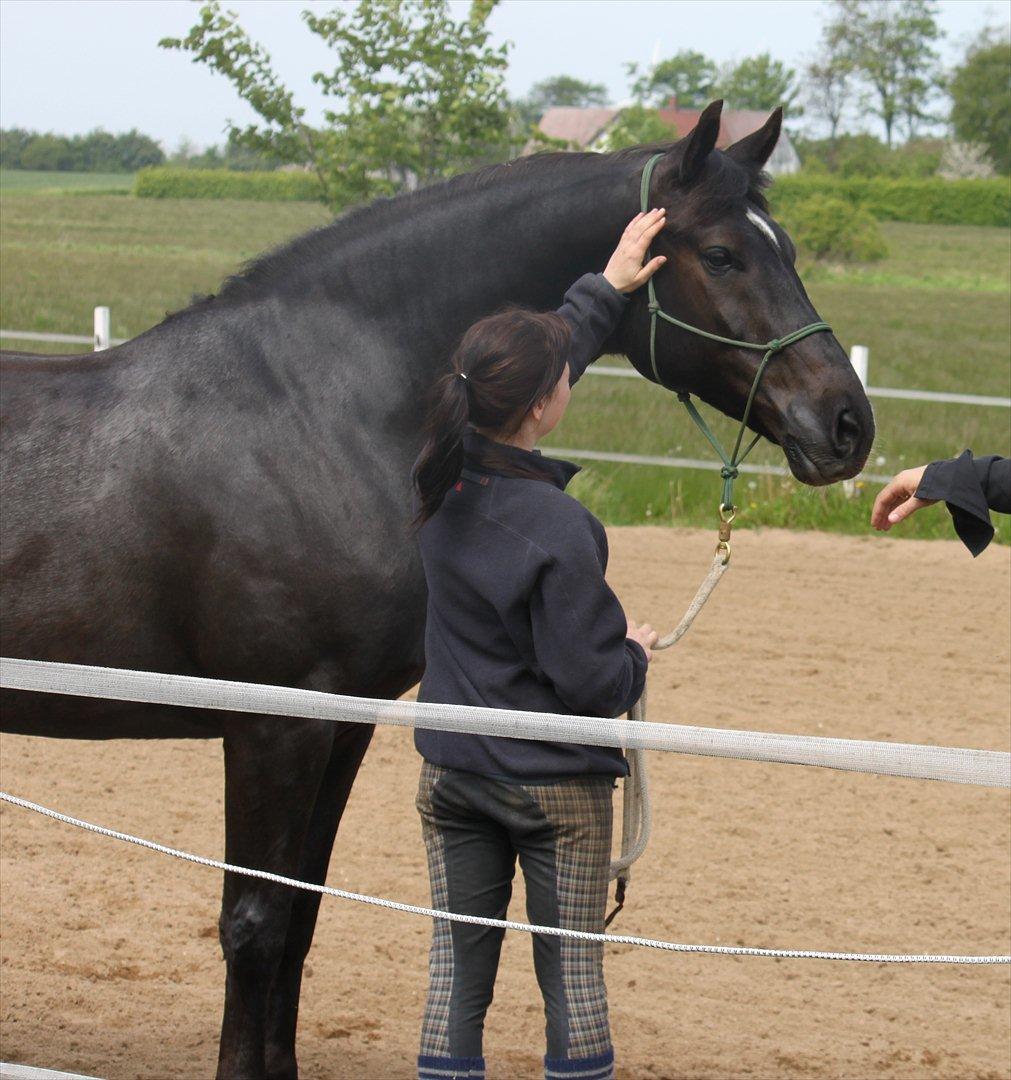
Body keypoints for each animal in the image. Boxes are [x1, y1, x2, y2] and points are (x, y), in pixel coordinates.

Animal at [0, 103, 872, 1080]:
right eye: (721, 254)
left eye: (785, 246)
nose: (847, 423)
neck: (312, 412)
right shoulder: (271, 726)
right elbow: (254, 924)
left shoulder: (340, 724)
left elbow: (299, 917)